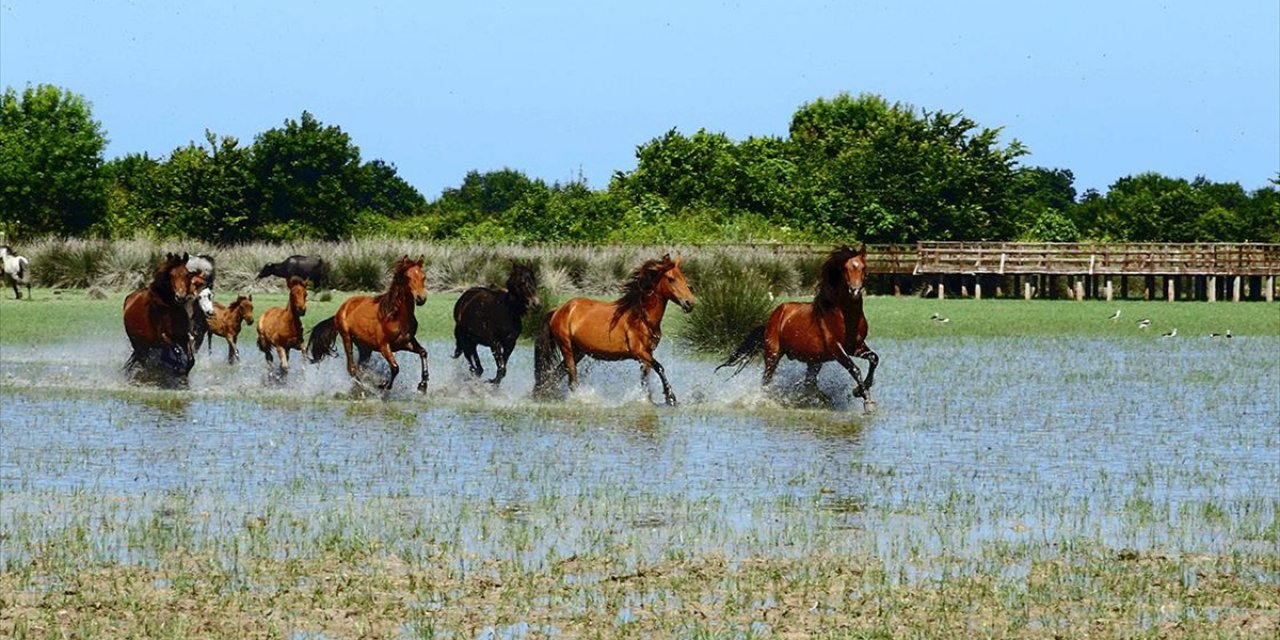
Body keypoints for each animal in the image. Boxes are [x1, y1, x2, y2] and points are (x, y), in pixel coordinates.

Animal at [304, 257, 430, 391]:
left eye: (423, 276)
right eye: (407, 277)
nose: (421, 299)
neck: (395, 316)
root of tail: (341, 309)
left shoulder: (407, 342)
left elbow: (423, 352)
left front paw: (423, 385)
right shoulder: (384, 346)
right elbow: (395, 367)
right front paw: (383, 384)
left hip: (364, 347)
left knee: (361, 367)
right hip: (347, 338)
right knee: (352, 368)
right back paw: (364, 386)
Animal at [532, 252, 696, 401]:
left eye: (684, 279)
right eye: (671, 279)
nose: (690, 303)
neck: (641, 317)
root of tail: (558, 310)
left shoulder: (647, 354)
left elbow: (645, 381)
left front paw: (648, 399)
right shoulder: (640, 352)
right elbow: (660, 368)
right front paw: (670, 397)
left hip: (578, 351)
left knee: (557, 374)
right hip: (566, 348)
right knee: (572, 380)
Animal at [716, 244, 885, 409]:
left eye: (864, 267)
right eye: (845, 268)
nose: (855, 291)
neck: (845, 317)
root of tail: (773, 316)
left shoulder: (855, 346)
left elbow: (874, 358)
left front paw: (860, 390)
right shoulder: (836, 349)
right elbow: (855, 369)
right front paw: (867, 401)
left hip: (814, 360)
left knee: (809, 383)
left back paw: (822, 400)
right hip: (773, 354)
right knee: (767, 381)